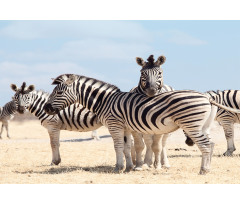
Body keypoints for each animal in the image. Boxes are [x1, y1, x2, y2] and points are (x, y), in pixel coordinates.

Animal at [44, 72, 240, 175]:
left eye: (58, 92)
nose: (46, 107)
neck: (105, 101)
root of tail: (206, 97)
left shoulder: (114, 125)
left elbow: (117, 147)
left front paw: (118, 167)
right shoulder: (125, 127)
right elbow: (127, 147)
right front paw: (129, 167)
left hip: (191, 125)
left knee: (206, 146)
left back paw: (203, 170)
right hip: (203, 126)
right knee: (211, 144)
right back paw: (208, 168)